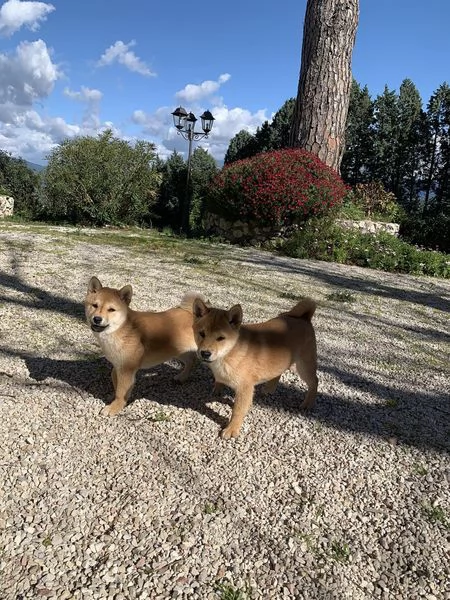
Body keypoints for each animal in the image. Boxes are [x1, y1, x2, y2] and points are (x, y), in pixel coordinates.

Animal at [84, 278, 202, 414]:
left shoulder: (126, 369)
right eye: (94, 305)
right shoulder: (120, 365)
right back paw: (182, 377)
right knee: (191, 361)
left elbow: (120, 391)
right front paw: (118, 400)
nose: (97, 319)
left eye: (111, 310)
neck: (123, 328)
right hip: (177, 351)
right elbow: (115, 379)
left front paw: (115, 407)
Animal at [192, 298, 316, 438]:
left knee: (314, 382)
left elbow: (237, 411)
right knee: (278, 373)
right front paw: (217, 390)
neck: (230, 352)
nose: (205, 353)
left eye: (221, 338)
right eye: (202, 334)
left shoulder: (244, 387)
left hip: (304, 366)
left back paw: (307, 404)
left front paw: (232, 429)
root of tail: (304, 318)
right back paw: (269, 389)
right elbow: (219, 382)